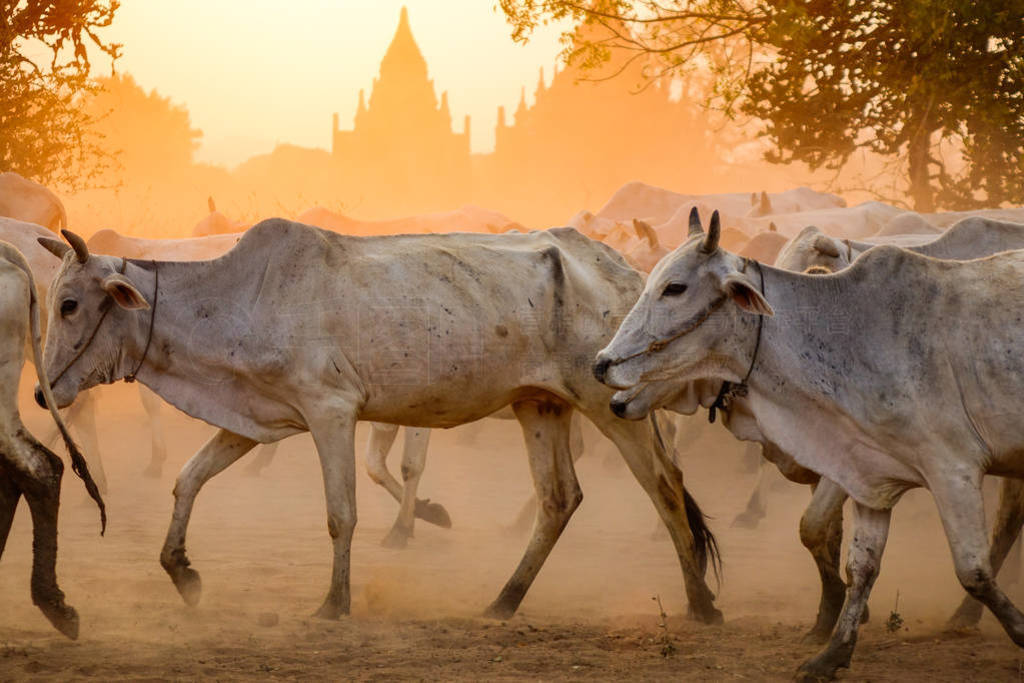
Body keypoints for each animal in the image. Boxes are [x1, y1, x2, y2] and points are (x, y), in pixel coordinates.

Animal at [37, 224, 720, 626]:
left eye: (69, 304)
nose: (43, 395)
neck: (240, 299)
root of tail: (629, 269)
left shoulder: (331, 412)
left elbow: (342, 513)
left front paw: (334, 603)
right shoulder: (254, 418)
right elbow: (187, 479)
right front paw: (181, 571)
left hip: (610, 404)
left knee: (664, 487)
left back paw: (700, 603)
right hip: (539, 405)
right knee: (559, 499)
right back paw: (503, 601)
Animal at [593, 211, 1024, 679]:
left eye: (675, 287)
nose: (601, 365)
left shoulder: (951, 470)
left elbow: (971, 569)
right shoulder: (868, 472)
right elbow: (857, 563)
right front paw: (832, 646)